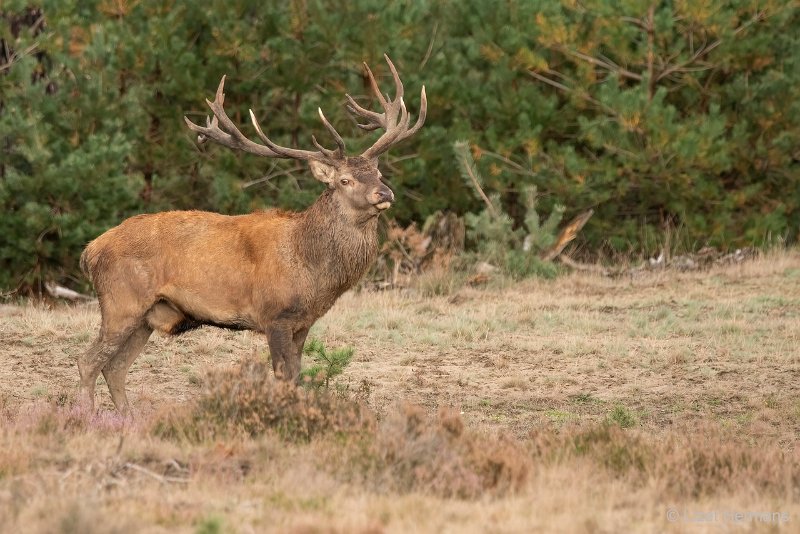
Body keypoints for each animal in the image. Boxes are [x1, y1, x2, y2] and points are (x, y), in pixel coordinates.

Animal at [78, 55, 424, 414]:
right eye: (345, 180)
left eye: (378, 173)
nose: (385, 193)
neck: (312, 271)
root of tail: (89, 251)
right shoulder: (275, 316)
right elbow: (283, 376)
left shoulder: (303, 322)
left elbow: (297, 376)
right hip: (121, 301)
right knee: (88, 362)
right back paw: (86, 415)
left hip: (147, 316)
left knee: (115, 367)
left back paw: (127, 418)